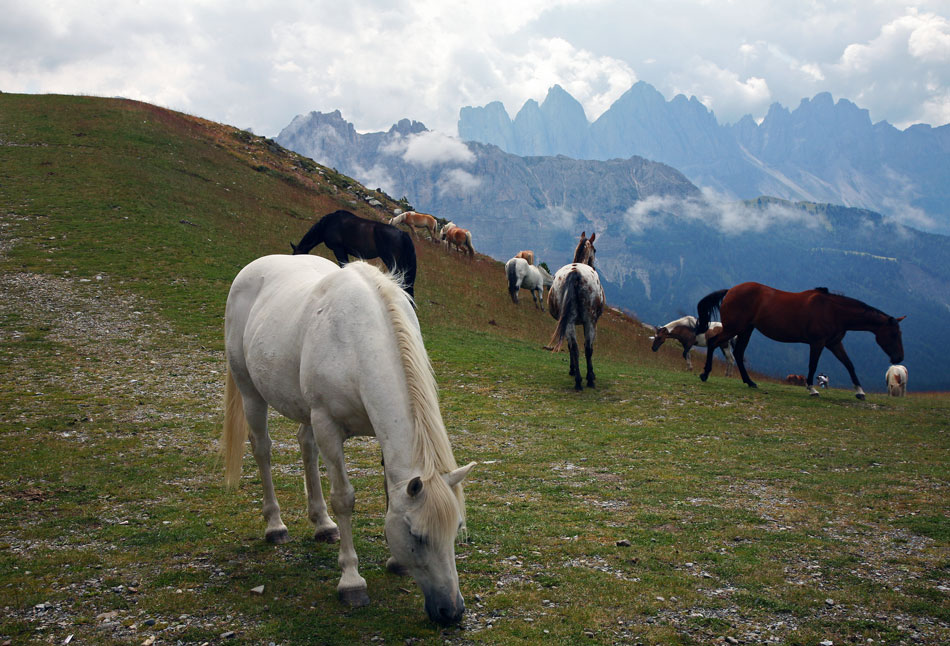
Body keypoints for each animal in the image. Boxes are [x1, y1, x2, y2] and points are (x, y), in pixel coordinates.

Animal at [224, 254, 476, 628]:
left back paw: (323, 525)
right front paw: (352, 582)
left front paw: (395, 563)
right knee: (262, 449)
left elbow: (389, 493)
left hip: (305, 412)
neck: (358, 341)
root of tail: (251, 270)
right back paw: (275, 526)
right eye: (417, 536)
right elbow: (344, 499)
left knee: (306, 446)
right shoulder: (328, 425)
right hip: (250, 392)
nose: (451, 612)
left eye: (456, 528)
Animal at [548, 235, 608, 392]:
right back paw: (588, 379)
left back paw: (578, 381)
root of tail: (575, 273)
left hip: (569, 321)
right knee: (587, 348)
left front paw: (574, 370)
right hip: (589, 320)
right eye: (595, 249)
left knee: (575, 348)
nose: (594, 266)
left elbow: (571, 346)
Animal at [696, 284, 912, 400]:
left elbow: (849, 365)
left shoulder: (834, 344)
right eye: (894, 334)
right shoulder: (818, 343)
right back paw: (705, 374)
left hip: (746, 330)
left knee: (739, 353)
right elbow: (812, 365)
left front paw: (860, 392)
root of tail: (731, 290)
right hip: (734, 328)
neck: (834, 311)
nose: (899, 357)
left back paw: (749, 382)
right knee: (714, 342)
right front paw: (812, 389)